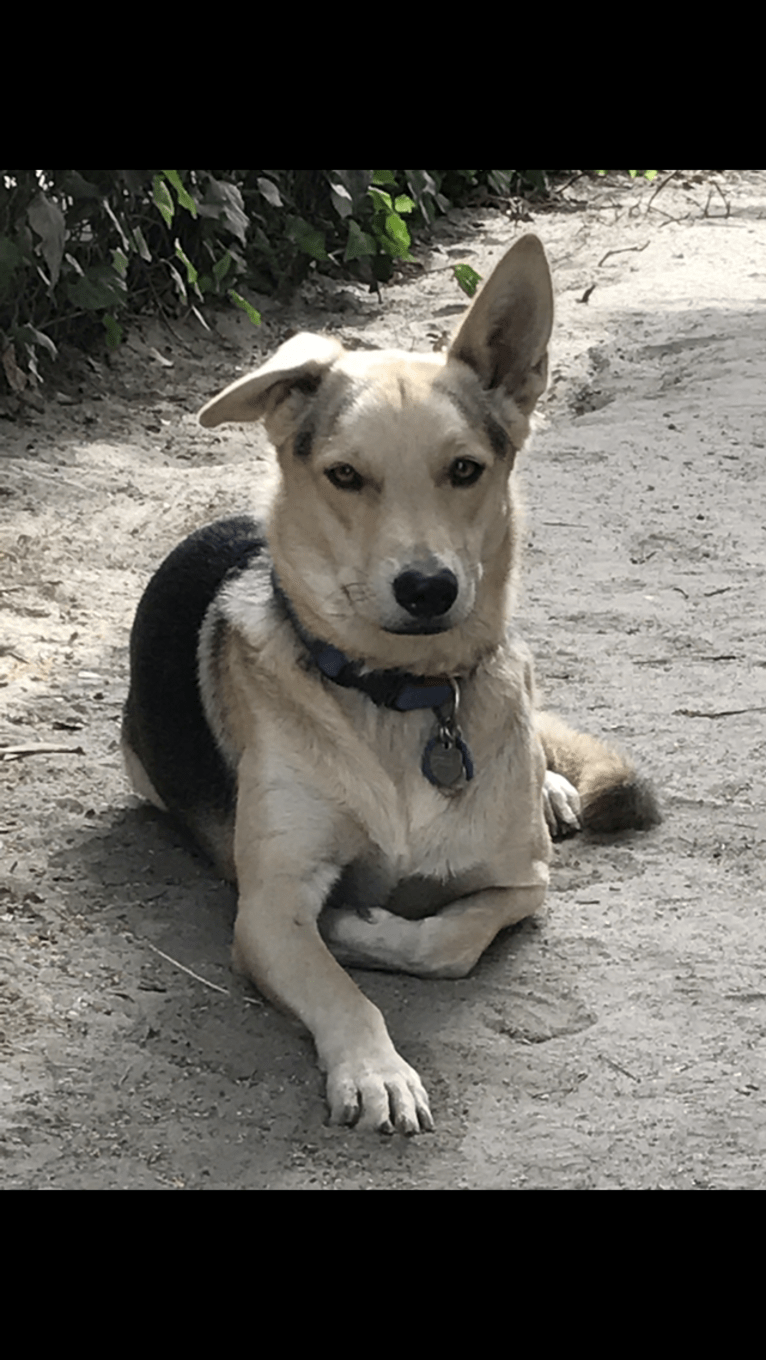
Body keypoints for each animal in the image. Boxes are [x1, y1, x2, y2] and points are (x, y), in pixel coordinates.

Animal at [123, 236, 661, 1136]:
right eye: (345, 476)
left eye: (465, 469)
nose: (428, 589)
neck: (403, 698)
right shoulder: (270, 910)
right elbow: (344, 992)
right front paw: (375, 1068)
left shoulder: (525, 881)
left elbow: (446, 939)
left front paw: (360, 925)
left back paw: (553, 789)